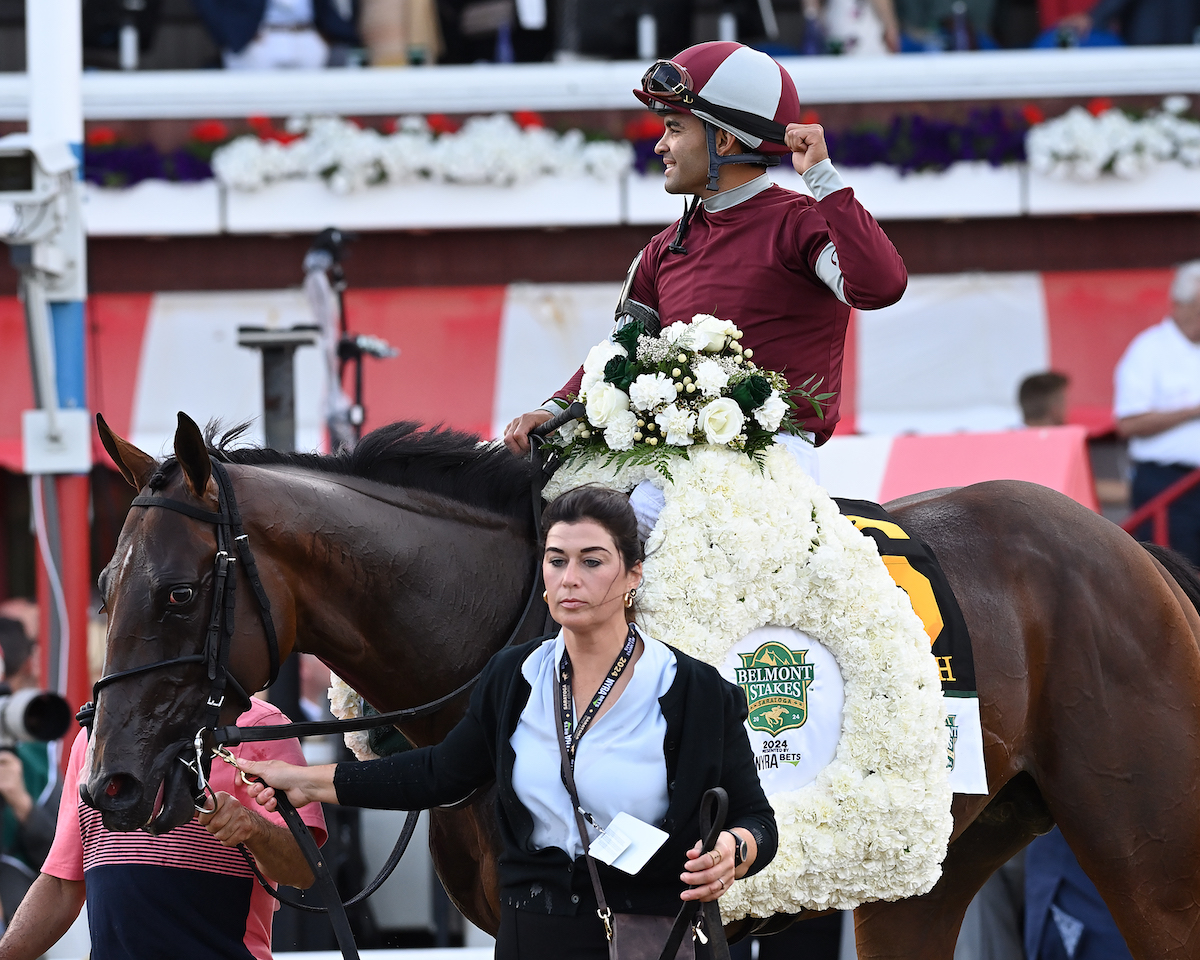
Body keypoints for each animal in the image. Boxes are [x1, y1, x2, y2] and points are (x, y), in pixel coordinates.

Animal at [84, 412, 1200, 960]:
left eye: (178, 594)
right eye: (105, 587)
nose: (110, 786)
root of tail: (1129, 551)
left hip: (1149, 858)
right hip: (929, 875)